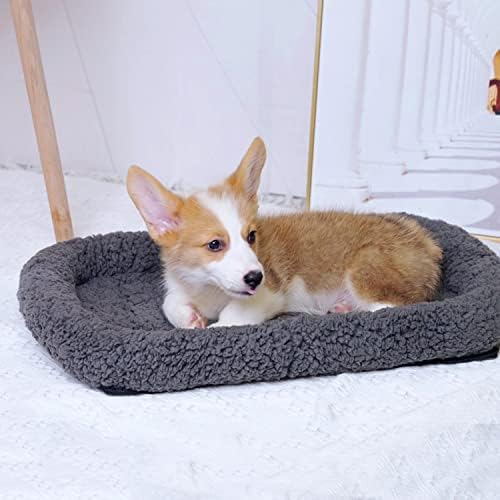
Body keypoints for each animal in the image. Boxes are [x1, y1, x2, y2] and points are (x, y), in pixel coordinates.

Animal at [127, 137, 442, 328]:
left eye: (251, 236)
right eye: (215, 244)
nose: (256, 277)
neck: (210, 289)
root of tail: (426, 244)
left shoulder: (268, 295)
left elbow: (229, 319)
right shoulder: (179, 289)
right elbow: (170, 304)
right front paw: (191, 319)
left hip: (366, 267)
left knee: (393, 306)